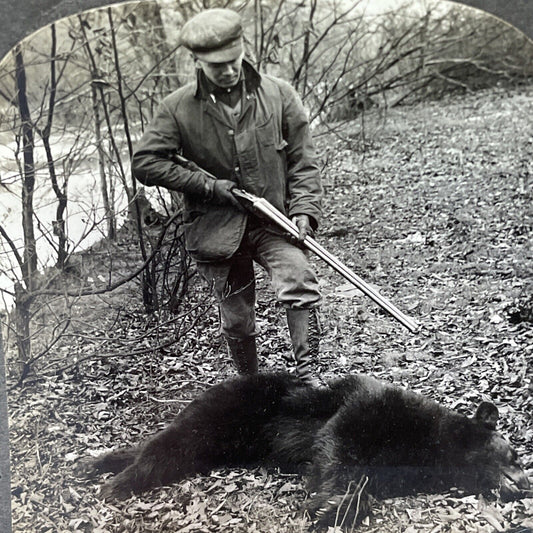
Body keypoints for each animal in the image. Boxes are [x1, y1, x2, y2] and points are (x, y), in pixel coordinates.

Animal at [85, 372, 528, 524]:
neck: (431, 440)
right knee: (169, 445)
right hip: (230, 409)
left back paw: (97, 464)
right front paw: (325, 507)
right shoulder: (370, 408)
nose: (525, 484)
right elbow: (336, 446)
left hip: (227, 443)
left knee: (171, 449)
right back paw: (113, 483)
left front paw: (327, 506)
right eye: (515, 454)